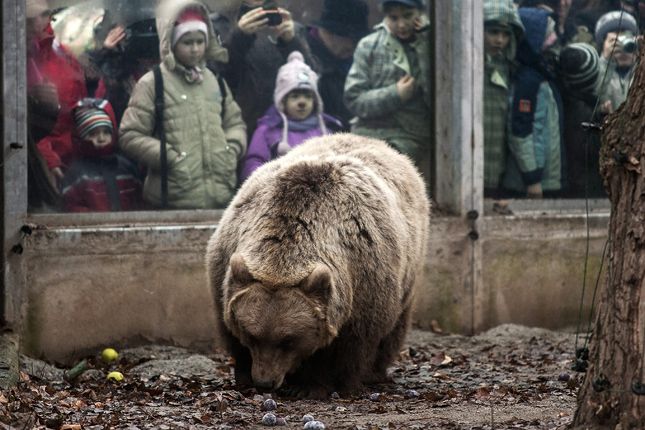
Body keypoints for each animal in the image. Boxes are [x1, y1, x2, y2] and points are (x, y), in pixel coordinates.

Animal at [205, 133, 428, 398]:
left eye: (288, 340)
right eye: (252, 335)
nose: (265, 381)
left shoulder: (362, 280)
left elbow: (348, 345)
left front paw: (318, 385)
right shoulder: (225, 267)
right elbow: (230, 331)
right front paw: (244, 375)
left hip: (410, 266)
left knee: (394, 328)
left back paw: (375, 373)